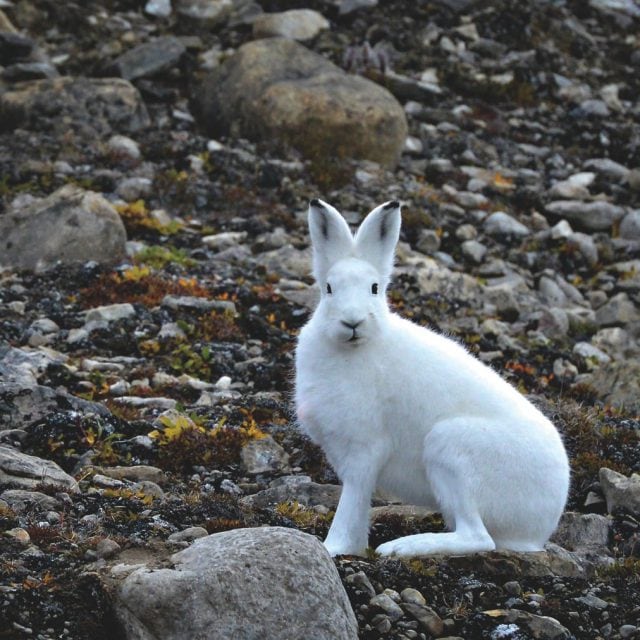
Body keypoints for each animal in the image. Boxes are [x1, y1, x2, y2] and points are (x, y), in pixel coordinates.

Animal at [294, 198, 570, 558]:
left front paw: (332, 548)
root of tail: (543, 525)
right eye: (328, 288)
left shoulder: (364, 449)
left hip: (452, 447)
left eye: (375, 288)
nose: (352, 322)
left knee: (478, 537)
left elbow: (351, 501)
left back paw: (401, 547)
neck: (357, 347)